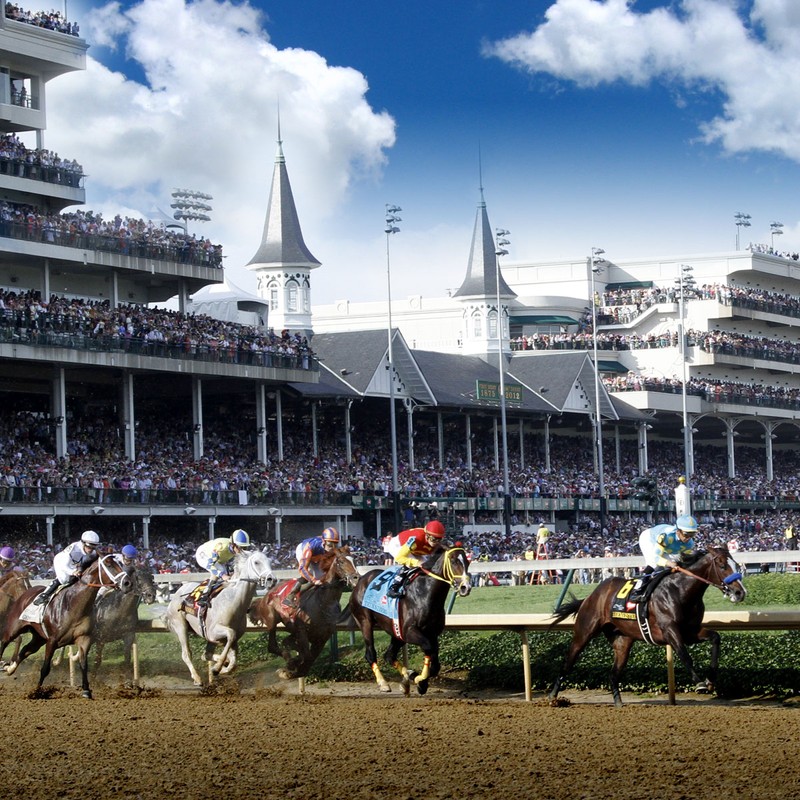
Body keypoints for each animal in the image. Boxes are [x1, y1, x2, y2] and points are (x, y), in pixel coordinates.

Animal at [0, 552, 133, 696]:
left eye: (120, 564)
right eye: (109, 564)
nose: (128, 583)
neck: (74, 605)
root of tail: (26, 594)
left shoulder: (84, 638)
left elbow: (84, 664)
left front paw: (86, 690)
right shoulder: (52, 641)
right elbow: (45, 668)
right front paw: (36, 691)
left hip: (39, 637)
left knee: (25, 650)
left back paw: (10, 669)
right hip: (14, 629)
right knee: (5, 641)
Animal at [248, 540, 358, 680]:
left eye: (354, 560)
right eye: (342, 561)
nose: (356, 578)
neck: (323, 602)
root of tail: (267, 594)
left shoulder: (323, 637)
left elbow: (308, 660)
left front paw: (293, 669)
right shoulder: (302, 630)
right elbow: (306, 655)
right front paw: (291, 665)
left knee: (285, 641)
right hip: (272, 618)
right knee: (272, 646)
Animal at [548, 548, 748, 708]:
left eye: (736, 565)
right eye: (722, 566)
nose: (740, 592)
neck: (680, 590)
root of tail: (591, 596)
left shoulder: (689, 631)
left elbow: (715, 638)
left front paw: (711, 678)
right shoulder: (670, 631)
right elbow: (685, 655)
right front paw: (700, 683)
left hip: (622, 641)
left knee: (613, 674)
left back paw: (619, 703)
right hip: (584, 632)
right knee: (567, 663)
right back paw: (552, 697)